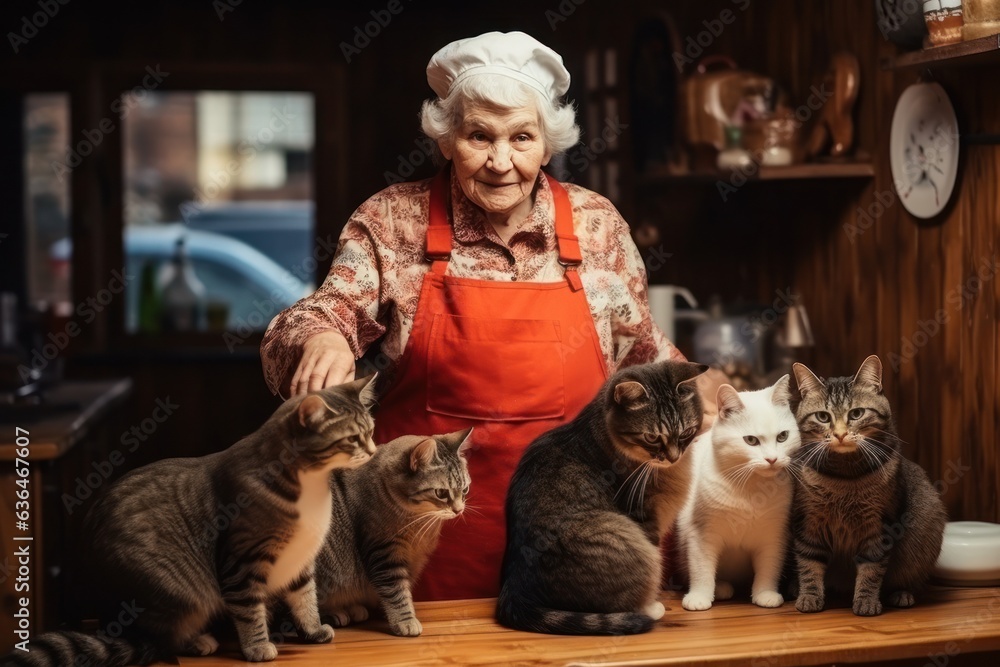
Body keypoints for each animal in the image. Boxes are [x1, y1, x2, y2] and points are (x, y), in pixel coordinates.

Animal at [3, 376, 376, 667]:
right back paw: (197, 641)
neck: (313, 487)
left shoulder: (301, 561)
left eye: (371, 432)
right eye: (352, 439)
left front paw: (312, 630)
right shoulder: (241, 561)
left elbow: (305, 598)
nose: (373, 451)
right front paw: (257, 647)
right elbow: (249, 610)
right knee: (161, 639)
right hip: (181, 594)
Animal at [316, 428, 472, 636]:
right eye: (441, 493)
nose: (459, 510)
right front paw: (405, 620)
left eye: (465, 489)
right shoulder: (383, 552)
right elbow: (396, 591)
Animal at [498, 362, 704, 636]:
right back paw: (648, 610)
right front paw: (653, 603)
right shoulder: (646, 518)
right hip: (624, 538)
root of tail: (515, 589)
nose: (673, 457)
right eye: (651, 438)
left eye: (686, 432)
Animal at [676, 376, 800, 612]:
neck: (751, 489)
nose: (772, 459)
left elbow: (769, 568)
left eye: (782, 436)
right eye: (751, 440)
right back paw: (721, 588)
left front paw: (765, 594)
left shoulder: (773, 536)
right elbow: (701, 570)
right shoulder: (702, 535)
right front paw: (699, 597)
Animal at [788, 358, 944, 620]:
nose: (840, 434)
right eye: (822, 417)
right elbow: (809, 565)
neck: (844, 477)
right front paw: (809, 596)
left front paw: (867, 601)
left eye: (856, 414)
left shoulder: (880, 527)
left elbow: (871, 570)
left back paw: (901, 594)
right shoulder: (809, 522)